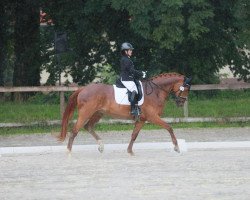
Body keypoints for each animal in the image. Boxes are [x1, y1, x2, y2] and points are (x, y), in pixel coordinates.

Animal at [58, 72, 191, 155]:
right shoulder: (152, 117)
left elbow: (134, 135)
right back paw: (69, 151)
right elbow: (169, 127)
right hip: (86, 113)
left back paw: (101, 146)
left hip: (98, 114)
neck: (156, 91)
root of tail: (83, 89)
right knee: (75, 130)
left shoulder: (142, 119)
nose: (181, 103)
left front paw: (130, 151)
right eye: (186, 88)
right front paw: (176, 147)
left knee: (88, 127)